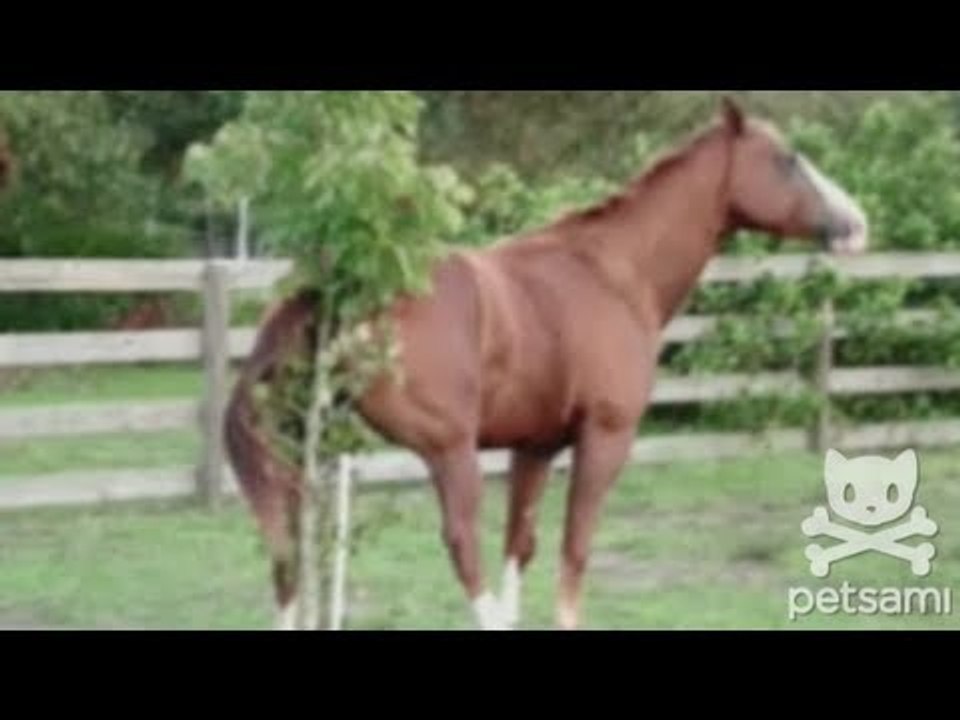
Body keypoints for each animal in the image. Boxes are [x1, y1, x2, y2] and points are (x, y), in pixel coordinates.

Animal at [225, 98, 869, 631]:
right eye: (787, 160)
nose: (855, 224)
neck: (613, 272)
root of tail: (343, 287)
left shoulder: (534, 448)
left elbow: (522, 544)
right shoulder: (604, 438)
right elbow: (572, 552)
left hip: (308, 448)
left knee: (291, 554)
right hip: (448, 452)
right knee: (461, 546)